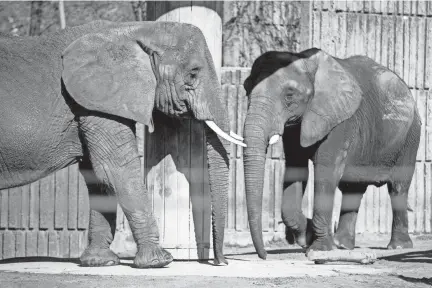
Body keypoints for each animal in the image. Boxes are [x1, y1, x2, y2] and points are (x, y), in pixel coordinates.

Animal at [0, 20, 246, 268]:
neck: (134, 30)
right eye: (193, 73)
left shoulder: (96, 101)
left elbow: (97, 176)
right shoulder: (98, 97)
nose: (221, 262)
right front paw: (159, 261)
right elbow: (116, 169)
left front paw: (100, 262)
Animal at [243, 47, 422, 258]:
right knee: (353, 188)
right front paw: (307, 237)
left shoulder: (340, 120)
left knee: (398, 187)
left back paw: (398, 247)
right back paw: (342, 245)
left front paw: (318, 249)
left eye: (289, 95)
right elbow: (296, 169)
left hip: (411, 135)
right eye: (246, 88)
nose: (264, 255)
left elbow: (326, 171)